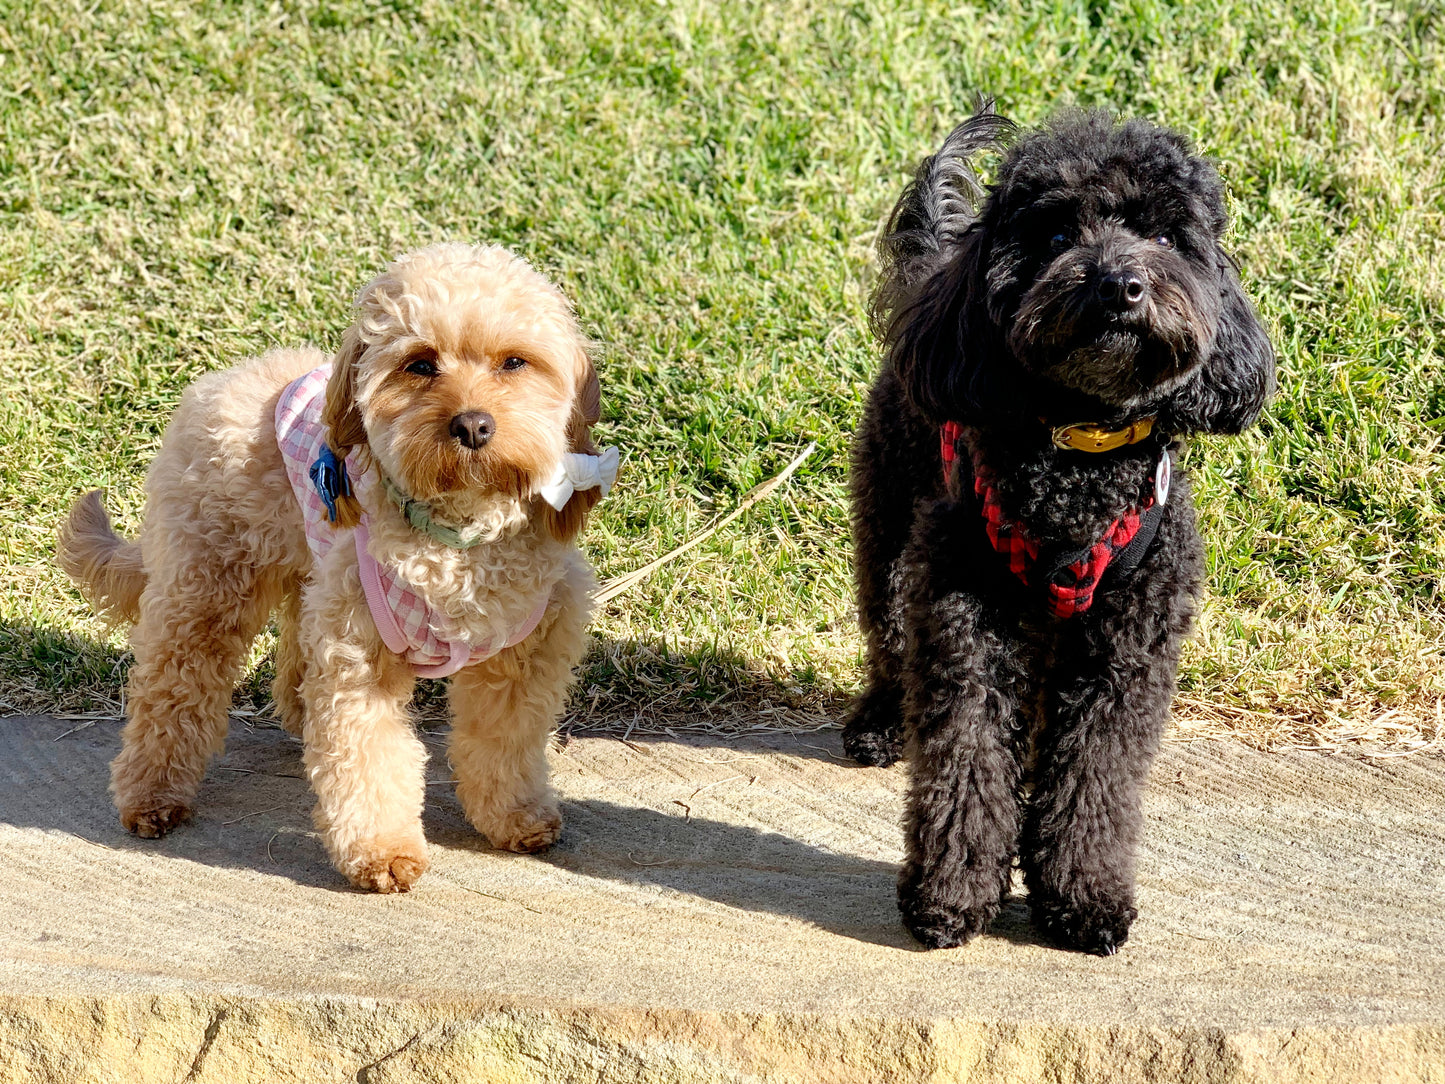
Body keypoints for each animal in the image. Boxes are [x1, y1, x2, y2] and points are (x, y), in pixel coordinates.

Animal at [54, 244, 609, 890]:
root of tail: (223, 379)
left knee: (293, 653)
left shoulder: (527, 652)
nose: (473, 425)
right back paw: (151, 794)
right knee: (172, 688)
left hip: (310, 575)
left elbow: (504, 742)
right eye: (421, 364)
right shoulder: (360, 658)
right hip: (207, 585)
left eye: (515, 362)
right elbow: (369, 757)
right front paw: (382, 850)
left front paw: (514, 815)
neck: (460, 536)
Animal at [843, 106, 1277, 953]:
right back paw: (879, 722)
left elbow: (1093, 774)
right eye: (1052, 235)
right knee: (888, 630)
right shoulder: (968, 619)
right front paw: (950, 897)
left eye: (1165, 236)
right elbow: (967, 754)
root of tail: (937, 262)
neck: (1078, 455)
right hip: (891, 516)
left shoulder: (1127, 646)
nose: (1119, 286)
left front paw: (1081, 899)